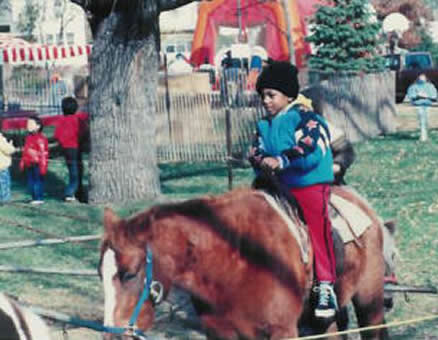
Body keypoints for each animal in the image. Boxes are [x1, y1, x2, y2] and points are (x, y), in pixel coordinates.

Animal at [99, 187, 390, 338]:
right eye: (101, 274)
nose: (111, 332)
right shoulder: (220, 333)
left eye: (129, 273)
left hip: (369, 302)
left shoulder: (282, 331)